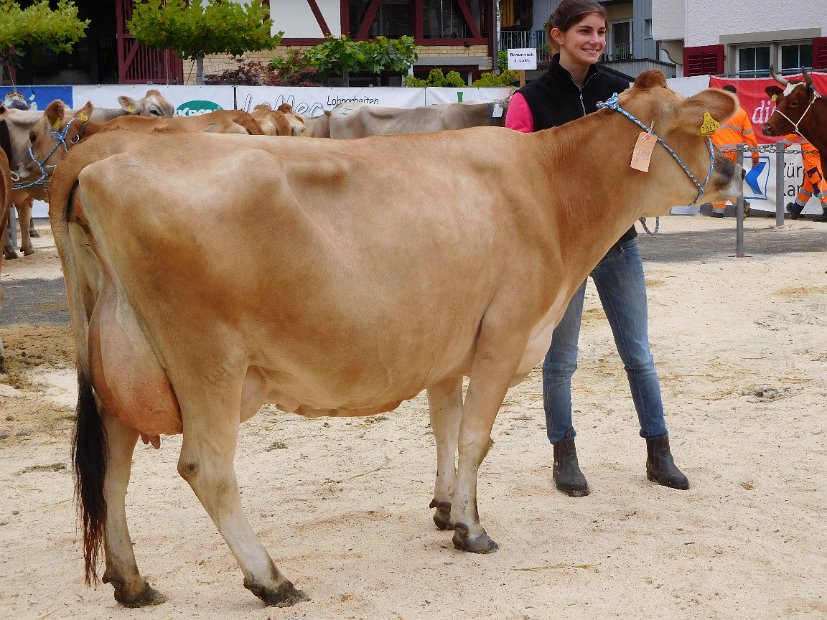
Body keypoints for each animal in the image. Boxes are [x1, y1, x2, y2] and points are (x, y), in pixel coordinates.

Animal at [51, 70, 744, 608]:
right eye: (701, 129)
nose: (738, 171)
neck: (551, 191)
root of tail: (99, 158)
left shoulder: (447, 345)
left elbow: (445, 425)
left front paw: (443, 507)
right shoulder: (504, 334)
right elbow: (475, 437)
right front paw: (470, 528)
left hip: (118, 365)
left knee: (112, 470)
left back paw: (132, 582)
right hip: (207, 362)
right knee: (206, 468)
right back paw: (271, 579)